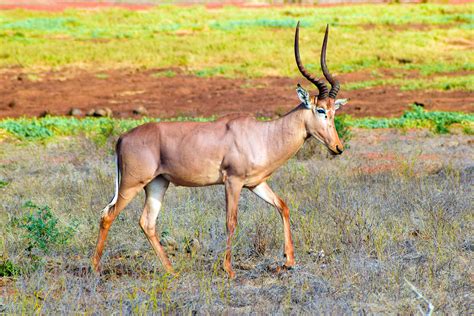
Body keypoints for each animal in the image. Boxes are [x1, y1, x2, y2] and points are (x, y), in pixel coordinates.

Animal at [92, 23, 350, 278]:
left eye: (334, 110)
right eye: (320, 110)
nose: (338, 147)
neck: (261, 134)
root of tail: (122, 138)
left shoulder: (255, 184)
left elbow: (283, 207)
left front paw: (288, 261)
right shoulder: (232, 182)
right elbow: (231, 221)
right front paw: (229, 270)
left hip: (157, 184)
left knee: (147, 222)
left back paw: (172, 271)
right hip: (131, 185)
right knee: (108, 215)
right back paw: (95, 269)